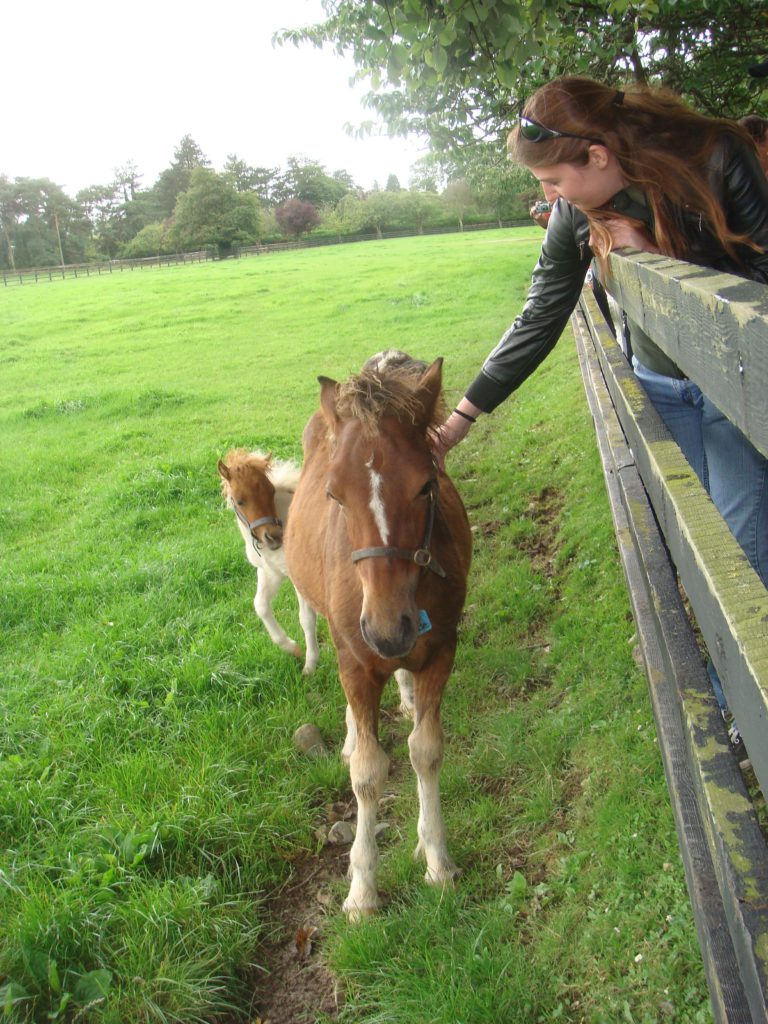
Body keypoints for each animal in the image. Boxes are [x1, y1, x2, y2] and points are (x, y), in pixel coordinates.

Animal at [218, 450, 319, 675]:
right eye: (240, 501)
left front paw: (310, 666)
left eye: (271, 491)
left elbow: (306, 618)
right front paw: (291, 648)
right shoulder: (270, 572)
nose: (274, 537)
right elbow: (261, 605)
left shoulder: (299, 576)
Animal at [286, 354, 473, 921]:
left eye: (427, 486)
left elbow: (425, 751)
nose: (389, 630)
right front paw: (362, 890)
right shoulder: (356, 660)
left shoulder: (441, 651)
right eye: (334, 494)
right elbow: (368, 774)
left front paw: (436, 860)